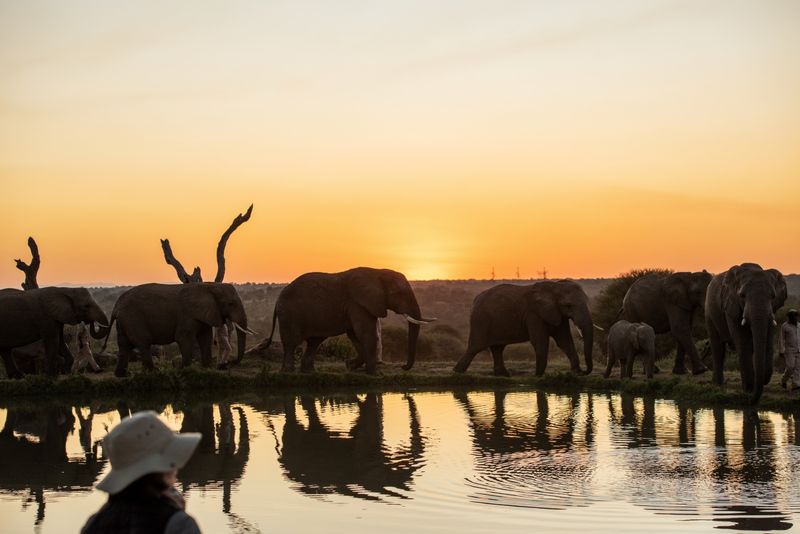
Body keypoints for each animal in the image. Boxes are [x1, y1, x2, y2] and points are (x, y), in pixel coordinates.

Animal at [101, 283, 254, 377]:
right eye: (230, 304)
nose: (231, 363)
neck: (209, 286)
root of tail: (116, 306)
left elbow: (205, 338)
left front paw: (207, 369)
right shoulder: (187, 314)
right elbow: (183, 338)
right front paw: (185, 370)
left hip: (124, 321)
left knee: (124, 345)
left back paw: (122, 375)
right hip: (133, 319)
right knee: (143, 343)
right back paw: (153, 372)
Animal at [261, 267, 434, 374]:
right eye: (399, 293)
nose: (403, 367)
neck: (377, 273)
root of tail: (277, 299)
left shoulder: (357, 305)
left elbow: (355, 335)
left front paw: (350, 366)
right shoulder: (358, 303)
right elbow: (365, 334)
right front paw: (375, 374)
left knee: (314, 341)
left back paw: (309, 372)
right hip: (290, 314)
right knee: (292, 342)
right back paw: (288, 371)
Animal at [452, 280, 597, 377]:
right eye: (568, 305)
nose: (584, 371)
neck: (555, 285)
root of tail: (475, 299)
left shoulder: (557, 314)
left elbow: (564, 341)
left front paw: (575, 373)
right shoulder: (534, 313)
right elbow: (539, 340)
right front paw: (538, 376)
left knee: (498, 347)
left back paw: (504, 375)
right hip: (481, 320)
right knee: (476, 346)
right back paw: (457, 372)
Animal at [705, 263, 787, 404]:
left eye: (773, 296)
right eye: (742, 295)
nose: (749, 401)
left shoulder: (772, 311)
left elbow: (768, 341)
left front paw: (762, 379)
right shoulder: (731, 307)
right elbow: (743, 342)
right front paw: (748, 389)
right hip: (709, 311)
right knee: (718, 347)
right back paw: (717, 385)